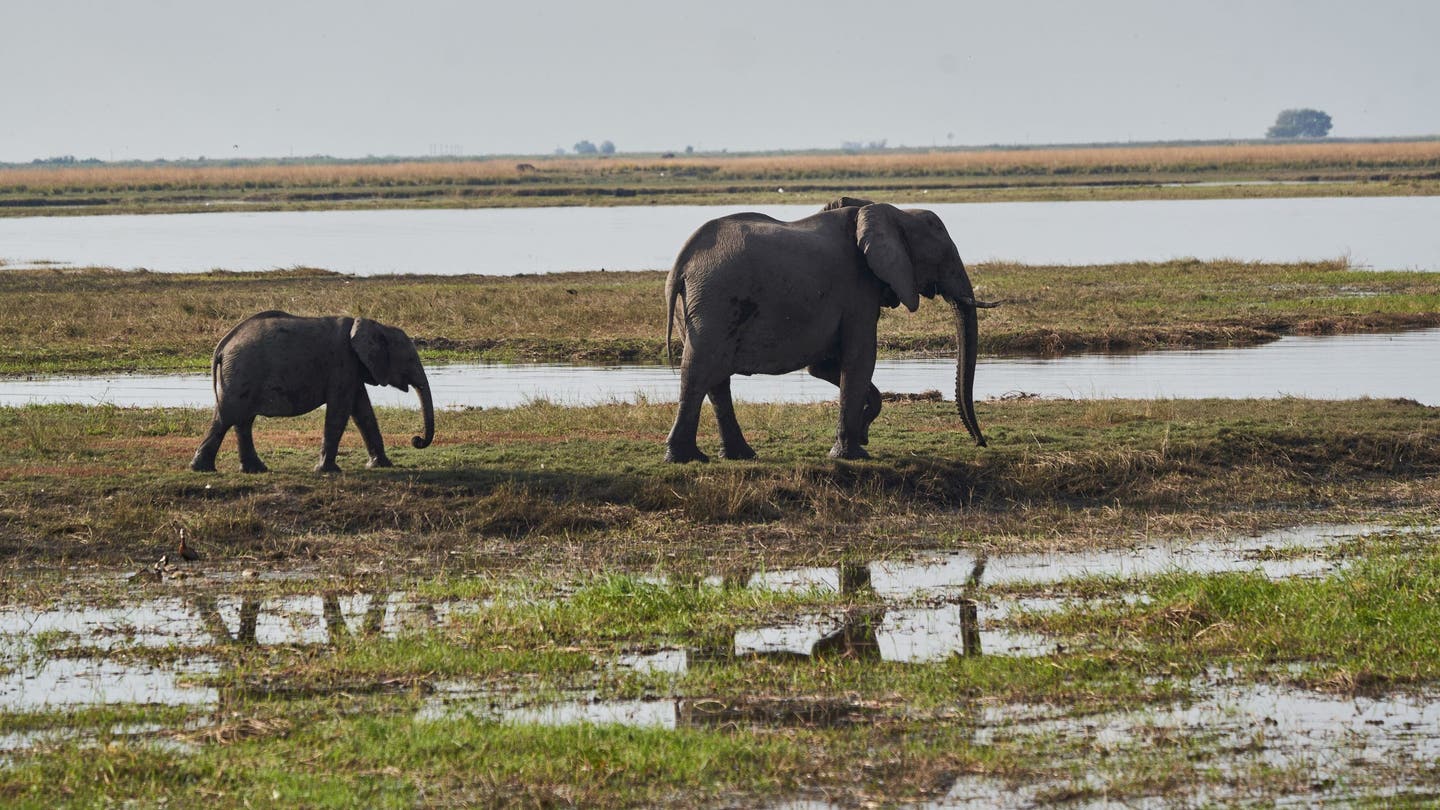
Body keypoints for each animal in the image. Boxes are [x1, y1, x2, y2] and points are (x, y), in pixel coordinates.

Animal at [194, 308, 434, 472]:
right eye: (410, 359)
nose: (416, 440)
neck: (374, 325)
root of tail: (222, 345)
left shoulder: (352, 368)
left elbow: (362, 411)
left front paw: (382, 465)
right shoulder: (342, 362)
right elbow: (340, 410)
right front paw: (327, 471)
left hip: (239, 375)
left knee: (240, 420)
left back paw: (253, 470)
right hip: (242, 371)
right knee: (228, 417)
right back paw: (203, 469)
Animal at [662, 196, 990, 461]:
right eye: (944, 257)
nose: (980, 443)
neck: (890, 211)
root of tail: (682, 263)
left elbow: (823, 367)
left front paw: (862, 431)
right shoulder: (857, 288)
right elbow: (860, 358)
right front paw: (854, 453)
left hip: (695, 307)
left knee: (715, 378)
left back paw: (737, 455)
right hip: (715, 300)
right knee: (700, 370)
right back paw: (685, 459)